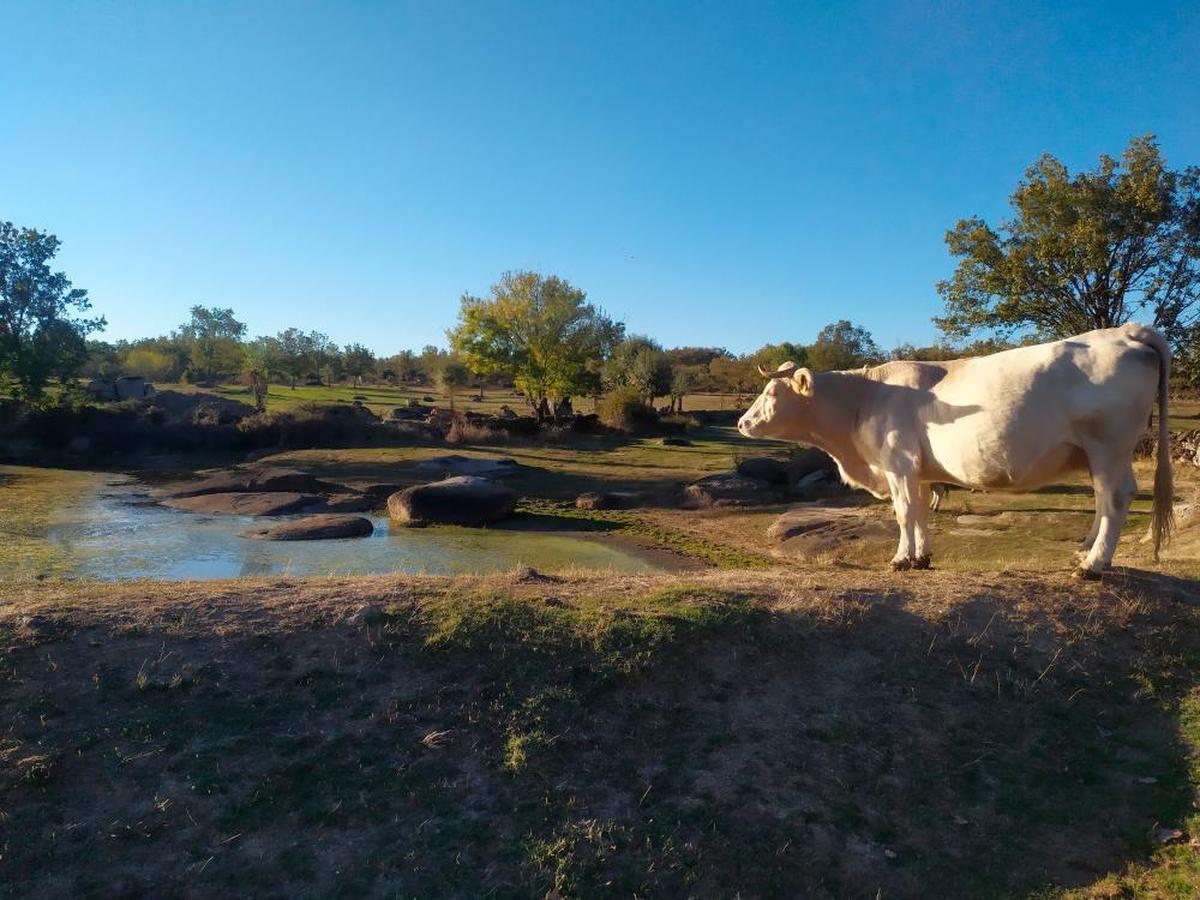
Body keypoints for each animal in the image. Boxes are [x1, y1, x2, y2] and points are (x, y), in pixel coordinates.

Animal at [734, 324, 1176, 578]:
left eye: (772, 392)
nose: (742, 423)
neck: (864, 400)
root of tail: (1127, 329)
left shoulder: (898, 464)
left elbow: (903, 513)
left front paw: (901, 559)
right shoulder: (919, 471)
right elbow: (921, 513)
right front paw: (921, 557)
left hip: (1108, 446)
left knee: (1115, 497)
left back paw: (1093, 565)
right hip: (1097, 453)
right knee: (1102, 500)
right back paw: (1084, 553)